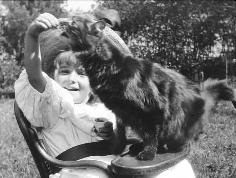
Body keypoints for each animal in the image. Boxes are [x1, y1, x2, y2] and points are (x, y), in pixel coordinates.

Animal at [60, 13, 234, 161]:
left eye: (73, 23)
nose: (61, 21)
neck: (104, 65)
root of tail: (201, 94)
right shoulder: (120, 113)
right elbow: (121, 134)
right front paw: (117, 149)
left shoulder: (150, 110)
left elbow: (151, 137)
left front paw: (148, 153)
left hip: (177, 125)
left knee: (177, 142)